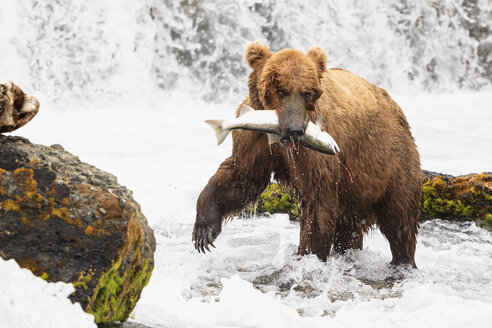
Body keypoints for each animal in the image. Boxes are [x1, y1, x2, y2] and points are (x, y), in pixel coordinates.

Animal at [192, 41, 418, 266]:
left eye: (307, 92)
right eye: (280, 90)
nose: (295, 130)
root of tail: (394, 105)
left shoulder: (316, 152)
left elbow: (317, 200)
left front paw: (307, 255)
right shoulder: (256, 139)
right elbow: (242, 176)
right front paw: (204, 232)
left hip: (390, 160)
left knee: (399, 219)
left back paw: (402, 260)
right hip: (353, 190)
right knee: (349, 229)